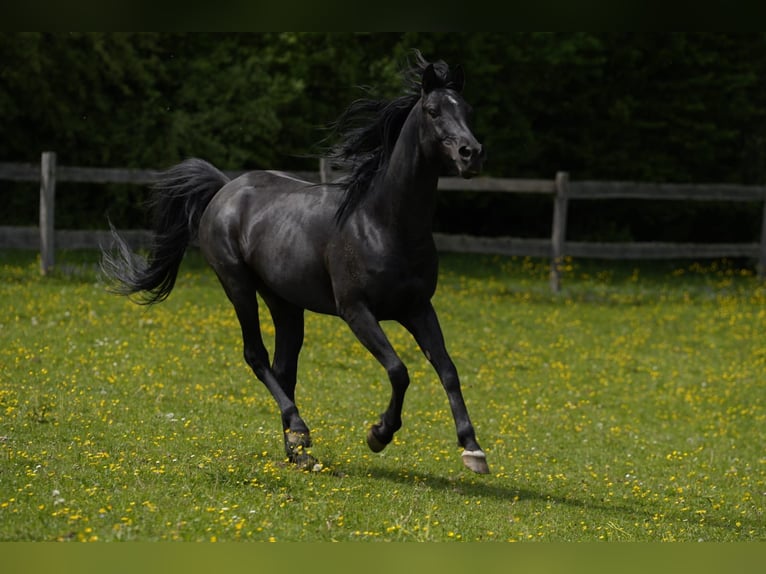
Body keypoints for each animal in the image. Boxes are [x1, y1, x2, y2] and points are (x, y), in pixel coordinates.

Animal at [102, 53, 488, 476]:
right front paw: (378, 434)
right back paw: (301, 431)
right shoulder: (356, 311)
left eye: (468, 110)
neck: (383, 222)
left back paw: (298, 449)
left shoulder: (418, 308)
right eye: (433, 111)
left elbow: (448, 370)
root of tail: (224, 188)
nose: (471, 153)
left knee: (284, 368)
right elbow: (398, 371)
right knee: (256, 356)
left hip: (285, 303)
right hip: (237, 286)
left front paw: (473, 449)